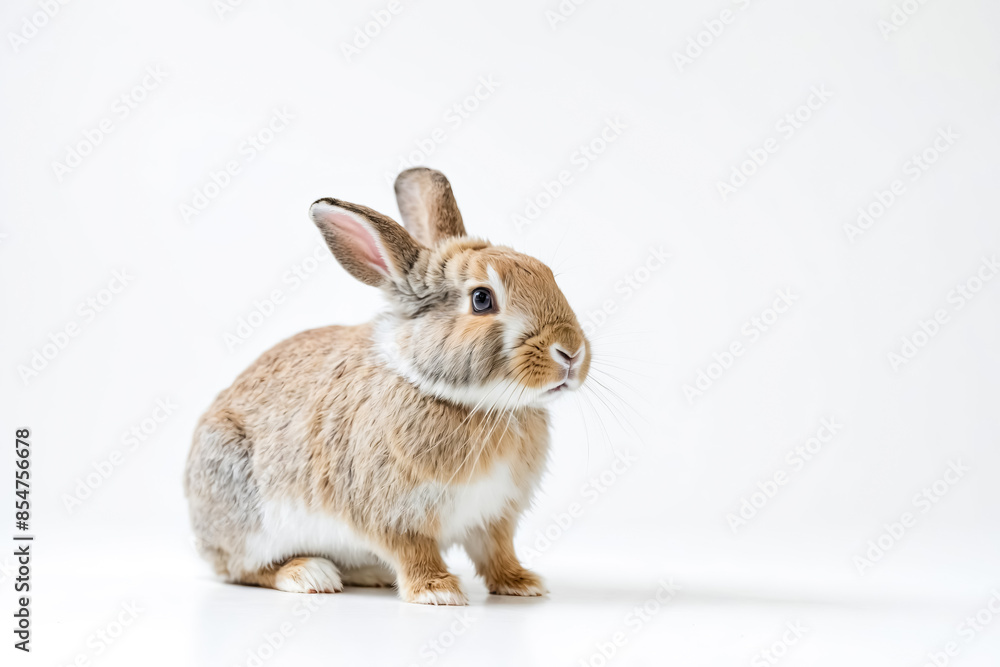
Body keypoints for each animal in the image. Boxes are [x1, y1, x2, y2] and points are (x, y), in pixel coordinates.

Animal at [184, 167, 590, 605]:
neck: (474, 403)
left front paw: (523, 583)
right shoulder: (395, 515)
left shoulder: (495, 514)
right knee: (242, 569)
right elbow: (413, 550)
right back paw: (308, 574)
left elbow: (497, 552)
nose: (571, 352)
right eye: (482, 299)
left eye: (547, 273)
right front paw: (437, 591)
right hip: (247, 516)